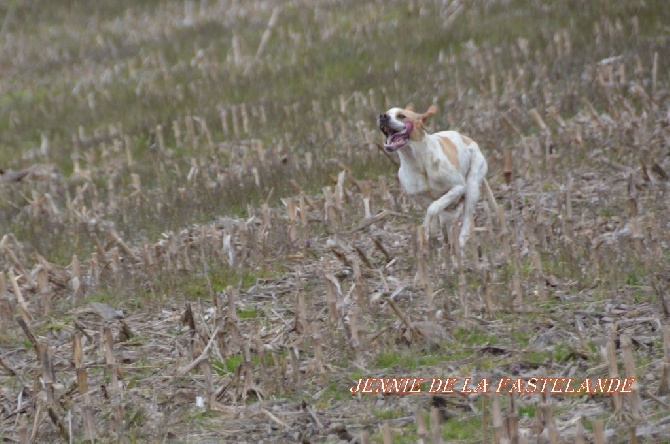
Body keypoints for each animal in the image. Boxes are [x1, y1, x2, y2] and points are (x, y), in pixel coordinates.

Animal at [378, 104, 498, 255]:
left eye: (401, 116)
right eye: (387, 113)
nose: (382, 116)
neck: (417, 161)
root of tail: (468, 140)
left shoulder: (458, 187)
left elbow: (433, 208)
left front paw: (427, 230)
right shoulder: (418, 196)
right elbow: (434, 209)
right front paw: (427, 237)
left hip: (472, 188)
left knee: (466, 221)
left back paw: (459, 244)